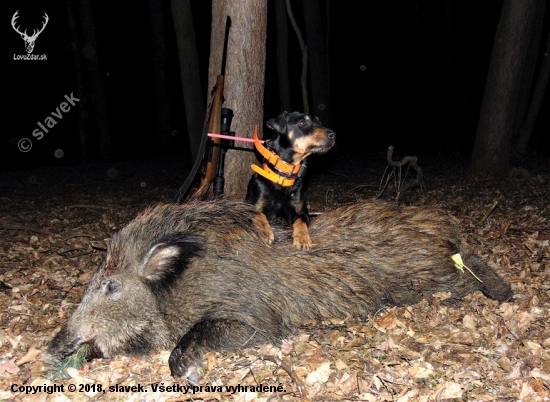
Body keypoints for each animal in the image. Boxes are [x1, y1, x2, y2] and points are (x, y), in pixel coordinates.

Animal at [247, 112, 336, 248]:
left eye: (319, 122)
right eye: (302, 123)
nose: (333, 135)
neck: (283, 177)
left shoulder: (302, 212)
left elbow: (300, 221)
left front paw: (303, 238)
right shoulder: (250, 207)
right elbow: (259, 214)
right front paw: (265, 232)